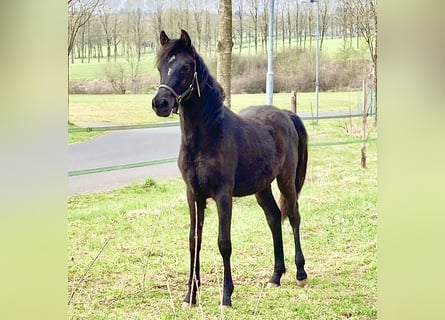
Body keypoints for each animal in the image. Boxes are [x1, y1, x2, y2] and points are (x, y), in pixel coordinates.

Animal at [151, 30, 306, 308]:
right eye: (160, 66)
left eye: (185, 67)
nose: (161, 103)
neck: (207, 136)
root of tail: (285, 114)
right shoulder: (193, 195)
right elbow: (194, 241)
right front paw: (190, 296)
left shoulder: (223, 195)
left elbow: (224, 242)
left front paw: (226, 295)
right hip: (262, 187)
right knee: (274, 217)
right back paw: (275, 276)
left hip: (286, 180)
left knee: (294, 216)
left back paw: (300, 273)